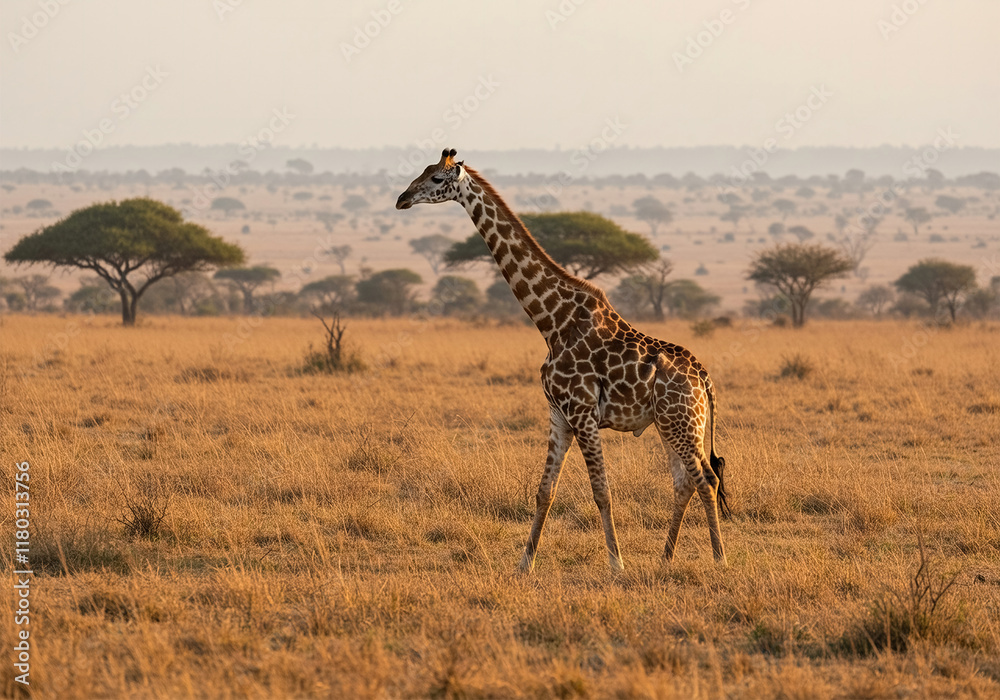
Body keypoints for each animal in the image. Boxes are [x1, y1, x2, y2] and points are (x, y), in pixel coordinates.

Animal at [396, 149, 730, 572]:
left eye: (437, 179)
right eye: (423, 172)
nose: (402, 199)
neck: (551, 321)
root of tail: (704, 378)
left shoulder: (583, 413)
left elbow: (601, 491)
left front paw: (616, 566)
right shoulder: (558, 414)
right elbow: (544, 491)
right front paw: (524, 564)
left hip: (682, 422)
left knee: (707, 478)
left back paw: (719, 559)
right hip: (672, 423)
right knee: (684, 481)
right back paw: (664, 559)